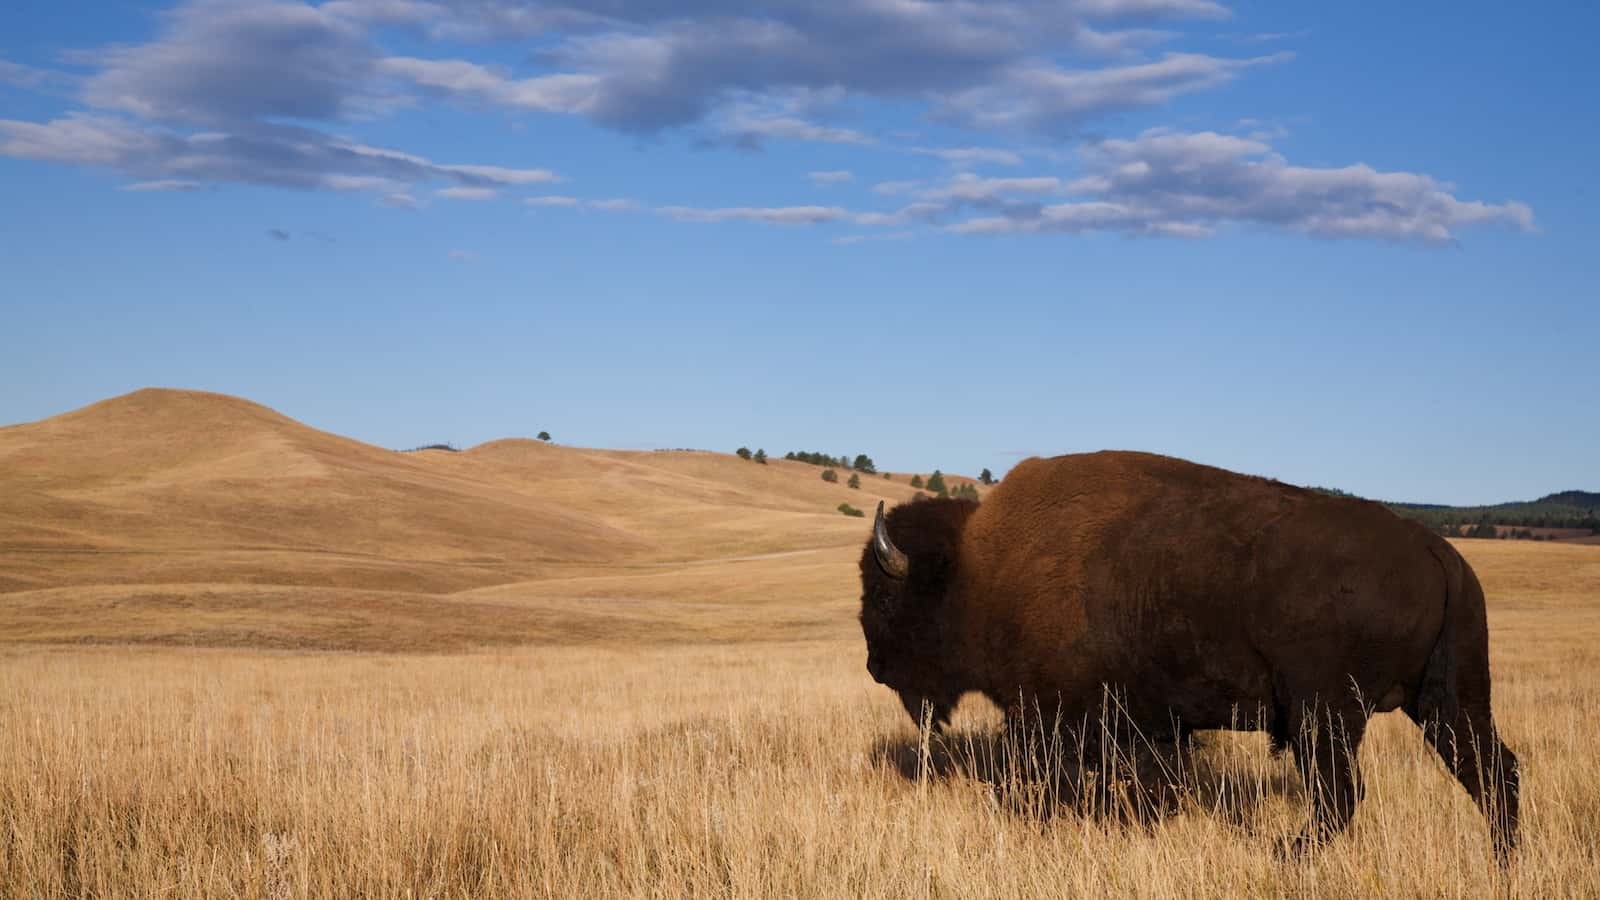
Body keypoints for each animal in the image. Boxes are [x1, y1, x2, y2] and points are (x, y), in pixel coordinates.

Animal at [870, 448, 1516, 851]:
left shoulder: (1052, 716)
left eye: (885, 597)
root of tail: (1436, 551)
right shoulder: (1147, 723)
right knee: (1493, 772)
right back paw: (1503, 862)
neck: (979, 569)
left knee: (1341, 796)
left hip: (1326, 714)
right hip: (1447, 701)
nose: (875, 667)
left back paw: (1285, 854)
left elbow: (1055, 779)